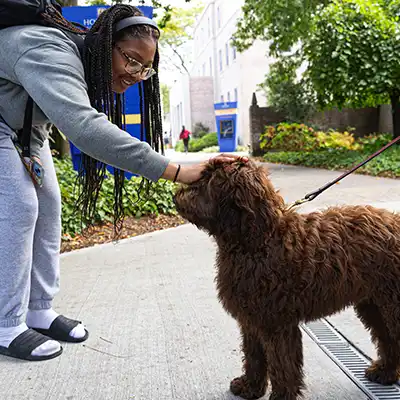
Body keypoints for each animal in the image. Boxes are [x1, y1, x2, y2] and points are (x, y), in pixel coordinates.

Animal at [174, 159, 400, 400]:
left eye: (210, 181)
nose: (178, 194)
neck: (258, 240)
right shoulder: (251, 320)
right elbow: (254, 356)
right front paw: (249, 387)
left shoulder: (276, 323)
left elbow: (282, 364)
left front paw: (281, 395)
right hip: (374, 304)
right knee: (388, 339)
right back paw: (385, 372)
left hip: (391, 303)